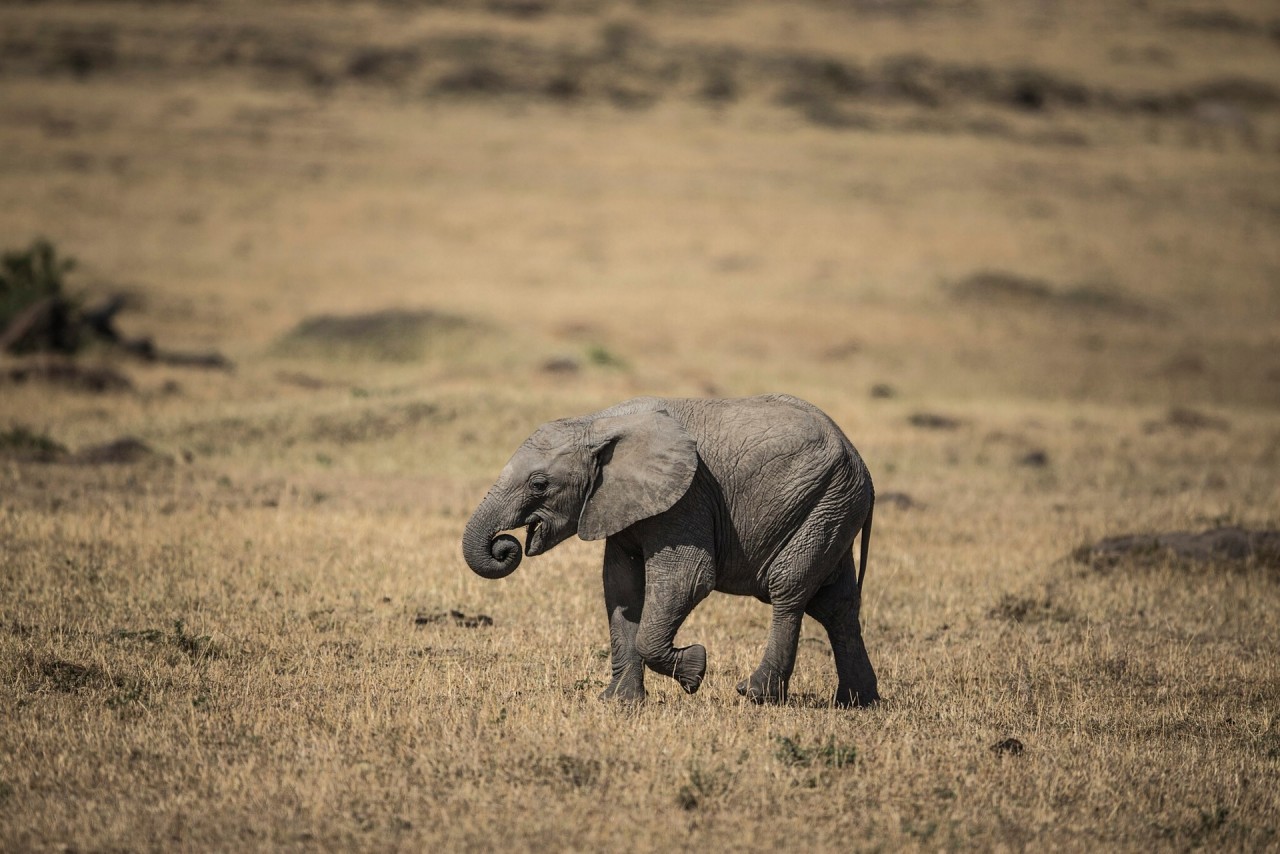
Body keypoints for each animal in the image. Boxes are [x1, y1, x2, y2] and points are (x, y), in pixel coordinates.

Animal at [460, 394, 880, 706]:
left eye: (539, 484)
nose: (504, 545)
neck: (596, 425)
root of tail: (860, 462)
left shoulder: (686, 498)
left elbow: (688, 577)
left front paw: (695, 670)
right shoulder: (621, 503)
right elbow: (621, 587)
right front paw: (618, 703)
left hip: (825, 501)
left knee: (789, 589)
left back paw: (755, 694)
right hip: (831, 507)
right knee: (836, 605)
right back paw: (857, 703)